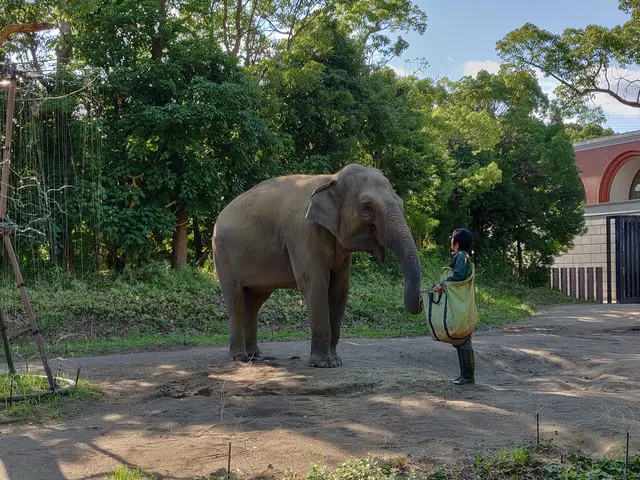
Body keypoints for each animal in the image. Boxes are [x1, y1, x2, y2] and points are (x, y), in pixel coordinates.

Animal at [212, 163, 423, 368]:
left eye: (401, 204)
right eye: (367, 207)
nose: (422, 300)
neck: (332, 178)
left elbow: (340, 288)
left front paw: (336, 361)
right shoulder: (302, 233)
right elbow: (314, 283)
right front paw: (323, 363)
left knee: (254, 302)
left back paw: (255, 355)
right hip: (222, 255)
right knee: (235, 298)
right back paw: (239, 358)